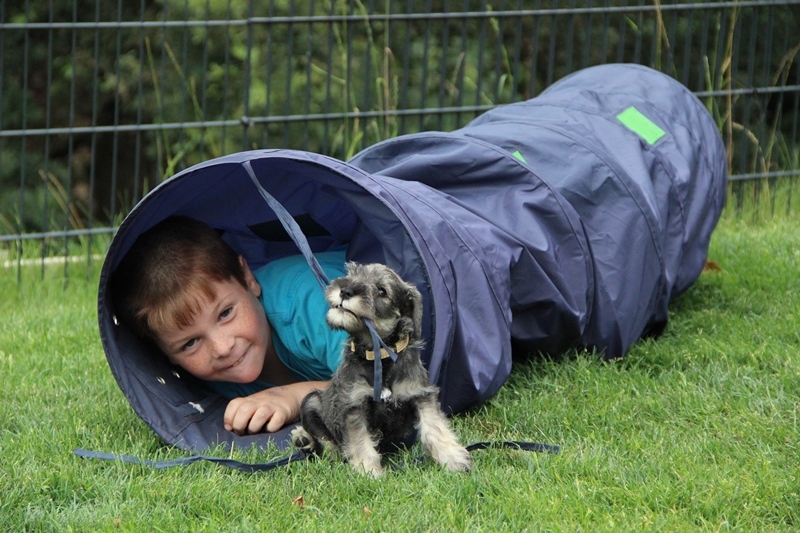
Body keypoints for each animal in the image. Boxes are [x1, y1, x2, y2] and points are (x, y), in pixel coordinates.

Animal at [290, 260, 472, 474]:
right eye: (352, 275)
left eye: (382, 291)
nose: (345, 291)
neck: (380, 356)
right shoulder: (354, 406)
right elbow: (361, 442)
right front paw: (369, 472)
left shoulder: (420, 394)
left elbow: (434, 427)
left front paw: (454, 459)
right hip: (311, 400)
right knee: (326, 442)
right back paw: (304, 439)